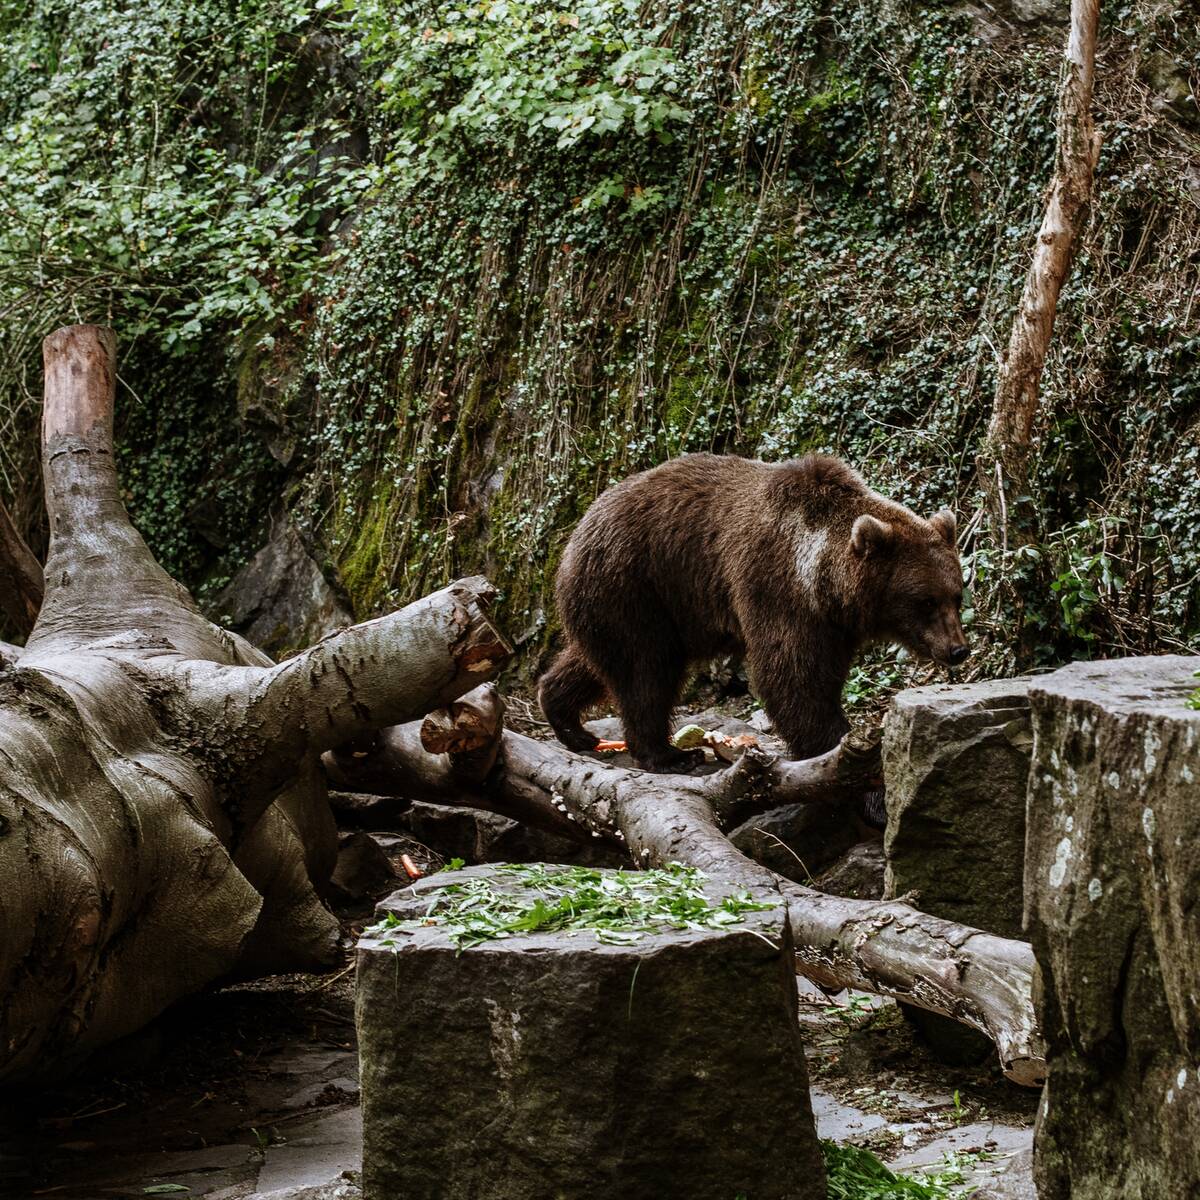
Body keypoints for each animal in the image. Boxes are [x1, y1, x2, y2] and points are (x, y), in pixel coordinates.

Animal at [540, 453, 969, 772]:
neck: (820, 577)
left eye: (957, 596)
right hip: (636, 584)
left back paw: (569, 721)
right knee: (645, 670)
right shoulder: (775, 588)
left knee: (597, 660)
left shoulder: (832, 624)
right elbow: (791, 676)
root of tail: (577, 530)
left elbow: (819, 675)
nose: (958, 650)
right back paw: (669, 754)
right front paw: (835, 751)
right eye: (925, 601)